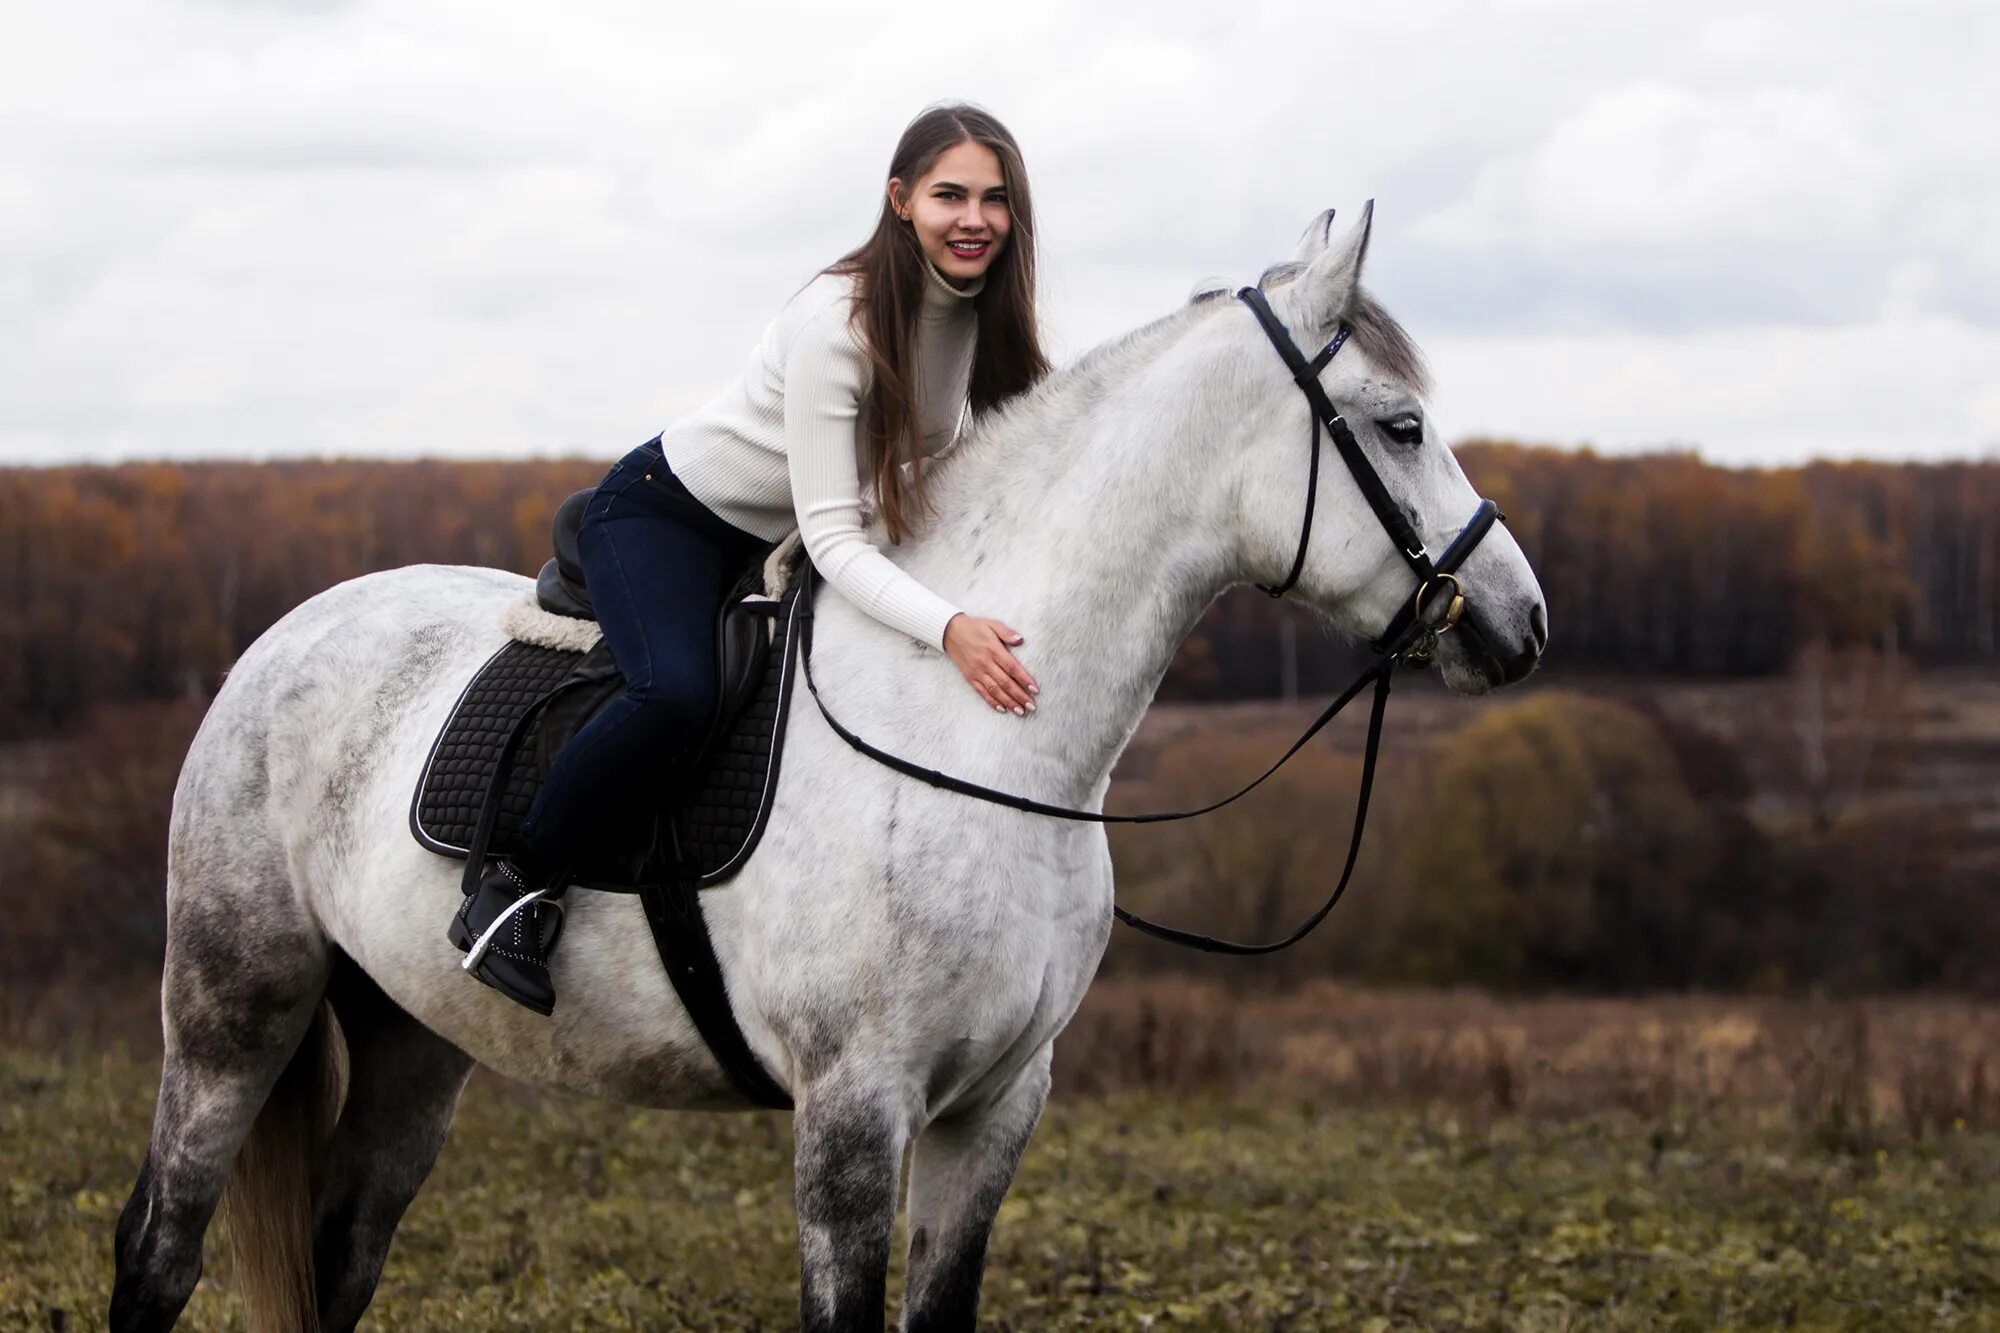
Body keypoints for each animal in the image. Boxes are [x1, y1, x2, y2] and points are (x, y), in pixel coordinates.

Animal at [105, 208, 1544, 1328]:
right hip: (234, 1012)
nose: (1520, 621)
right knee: (158, 1243)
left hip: (411, 1038)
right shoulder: (854, 1111)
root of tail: (276, 642)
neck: (982, 738)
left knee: (338, 1252)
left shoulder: (996, 1107)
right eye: (1399, 424)